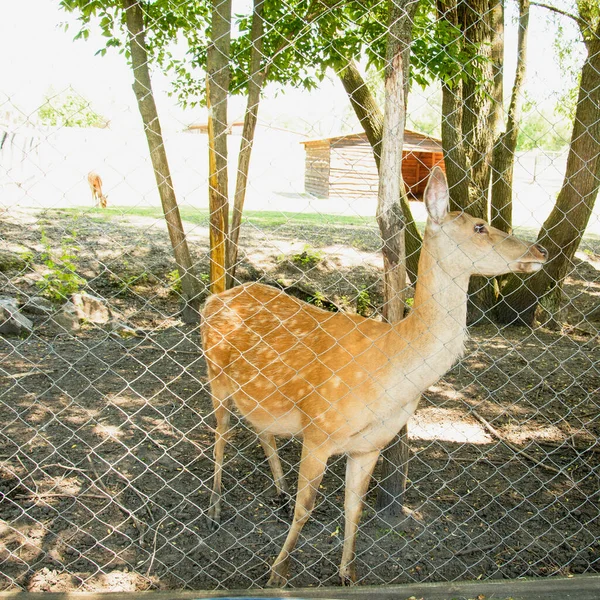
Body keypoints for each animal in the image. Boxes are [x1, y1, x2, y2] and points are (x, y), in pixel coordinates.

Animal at [202, 168, 548, 584]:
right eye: (479, 226)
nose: (540, 251)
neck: (388, 373)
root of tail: (213, 297)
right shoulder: (318, 430)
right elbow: (308, 508)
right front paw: (277, 575)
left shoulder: (370, 445)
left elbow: (354, 508)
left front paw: (346, 576)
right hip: (214, 375)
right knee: (221, 432)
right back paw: (215, 510)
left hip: (258, 394)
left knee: (261, 429)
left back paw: (279, 495)